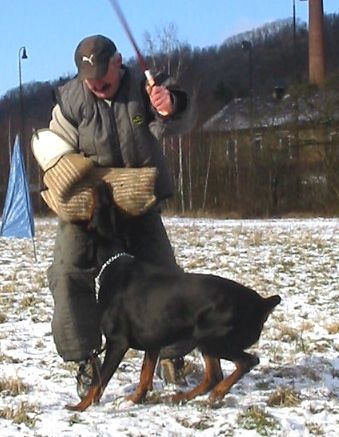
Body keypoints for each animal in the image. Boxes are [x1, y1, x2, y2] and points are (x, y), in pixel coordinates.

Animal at [67, 182, 282, 410]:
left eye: (98, 207)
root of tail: (261, 303)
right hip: (205, 340)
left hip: (212, 337)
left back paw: (216, 394)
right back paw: (181, 397)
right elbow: (145, 375)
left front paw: (79, 408)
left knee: (246, 362)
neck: (113, 262)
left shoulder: (117, 342)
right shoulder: (153, 341)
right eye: (111, 206)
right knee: (213, 375)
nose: (102, 184)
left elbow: (99, 381)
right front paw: (135, 400)